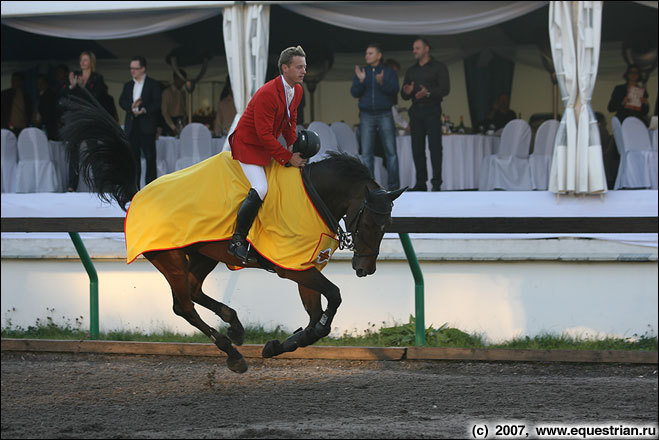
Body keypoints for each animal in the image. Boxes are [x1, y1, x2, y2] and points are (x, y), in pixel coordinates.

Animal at [62, 90, 404, 374]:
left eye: (388, 226)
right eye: (370, 224)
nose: (365, 269)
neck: (313, 194)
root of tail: (138, 196)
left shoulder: (303, 266)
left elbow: (317, 318)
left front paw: (277, 345)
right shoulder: (292, 268)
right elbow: (333, 298)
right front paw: (281, 343)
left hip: (203, 252)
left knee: (193, 290)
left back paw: (235, 325)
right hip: (170, 258)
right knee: (183, 305)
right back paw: (232, 353)